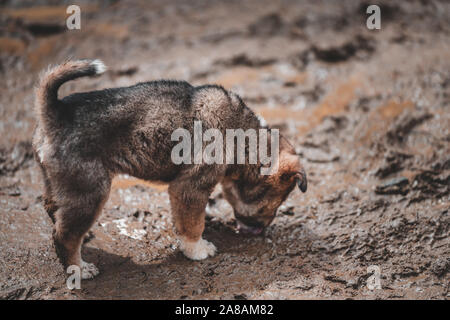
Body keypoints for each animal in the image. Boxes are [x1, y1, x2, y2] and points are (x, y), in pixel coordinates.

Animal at [31, 58, 306, 278]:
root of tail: (54, 113)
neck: (244, 137)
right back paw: (79, 269)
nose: (262, 230)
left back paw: (82, 239)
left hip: (60, 185)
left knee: (54, 210)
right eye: (274, 202)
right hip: (91, 191)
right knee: (64, 236)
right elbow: (193, 225)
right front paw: (197, 249)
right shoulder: (189, 188)